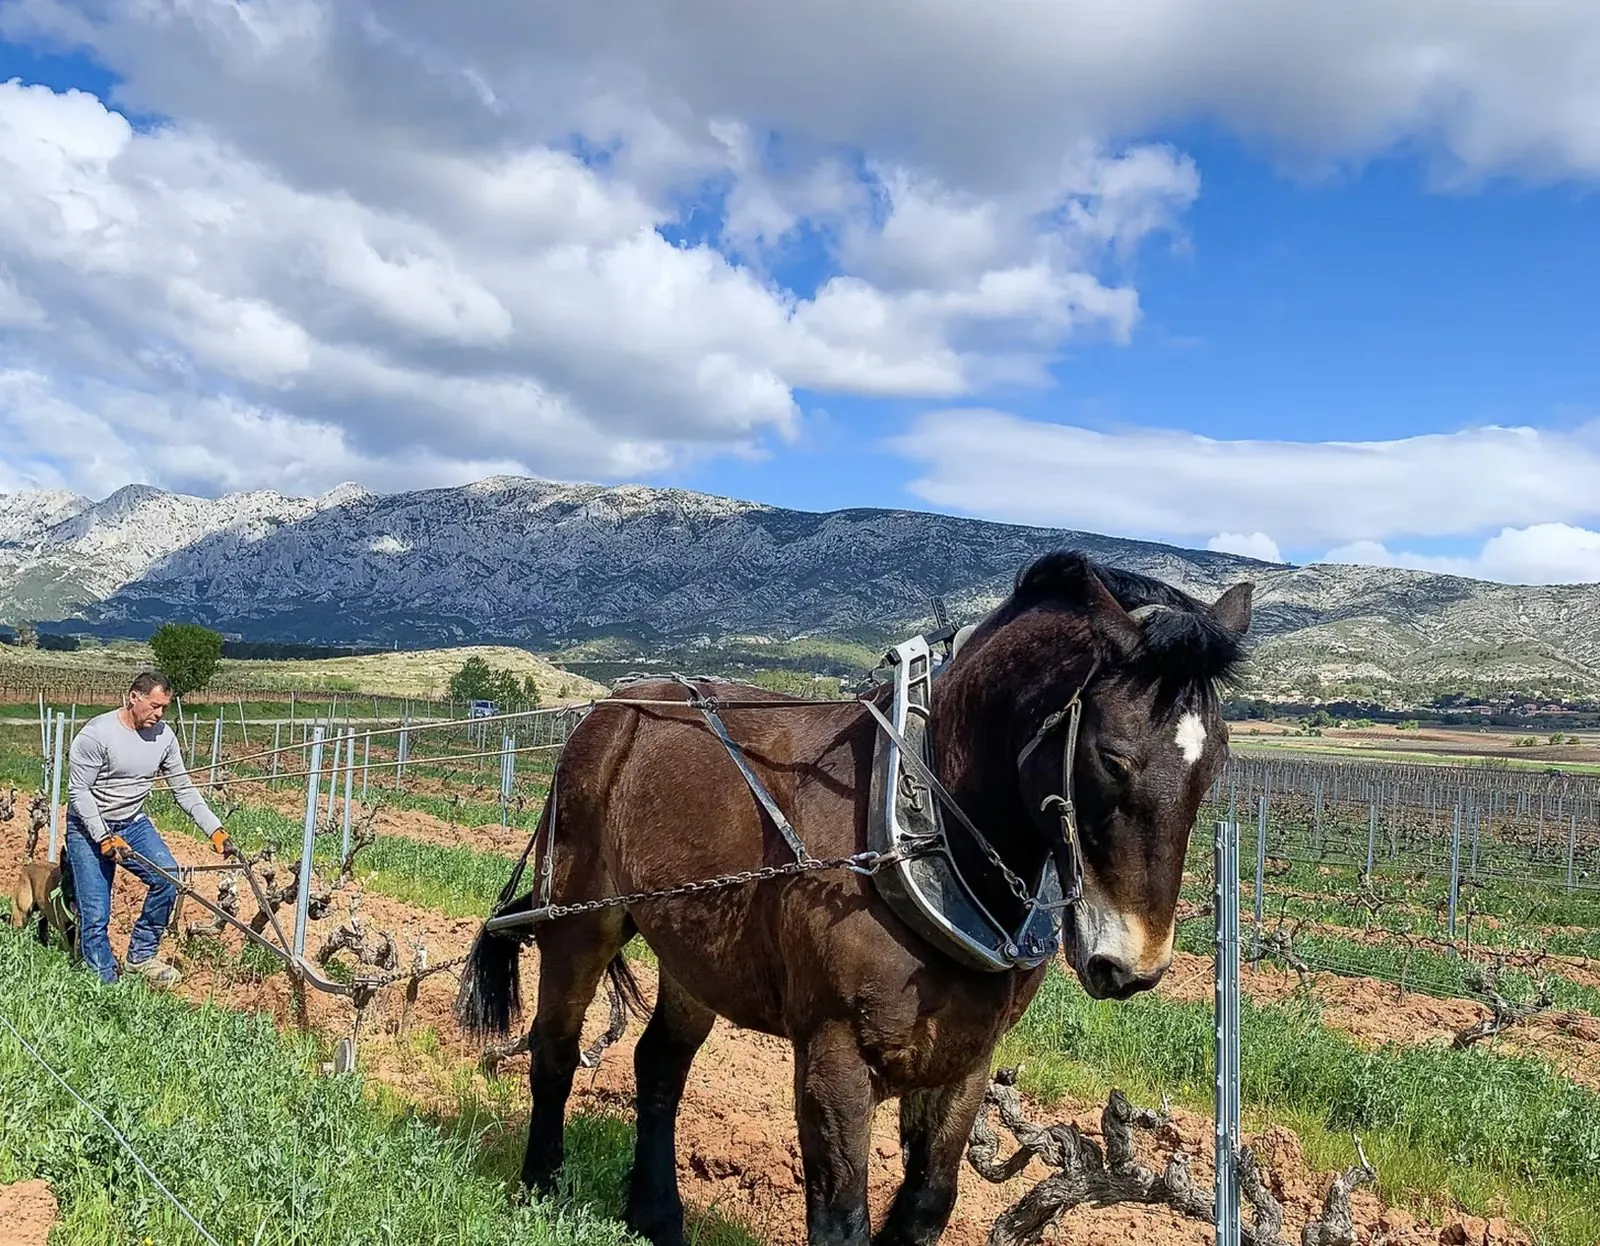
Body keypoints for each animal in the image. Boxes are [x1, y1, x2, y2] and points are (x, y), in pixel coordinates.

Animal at [456, 550, 1252, 1246]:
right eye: (1111, 757)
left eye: (1215, 762)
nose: (1136, 966)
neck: (929, 834)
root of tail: (608, 711)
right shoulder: (834, 1057)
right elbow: (840, 1219)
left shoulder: (966, 1060)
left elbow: (926, 1205)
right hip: (580, 921)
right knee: (555, 1049)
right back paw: (540, 1186)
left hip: (696, 954)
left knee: (659, 1066)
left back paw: (657, 1216)